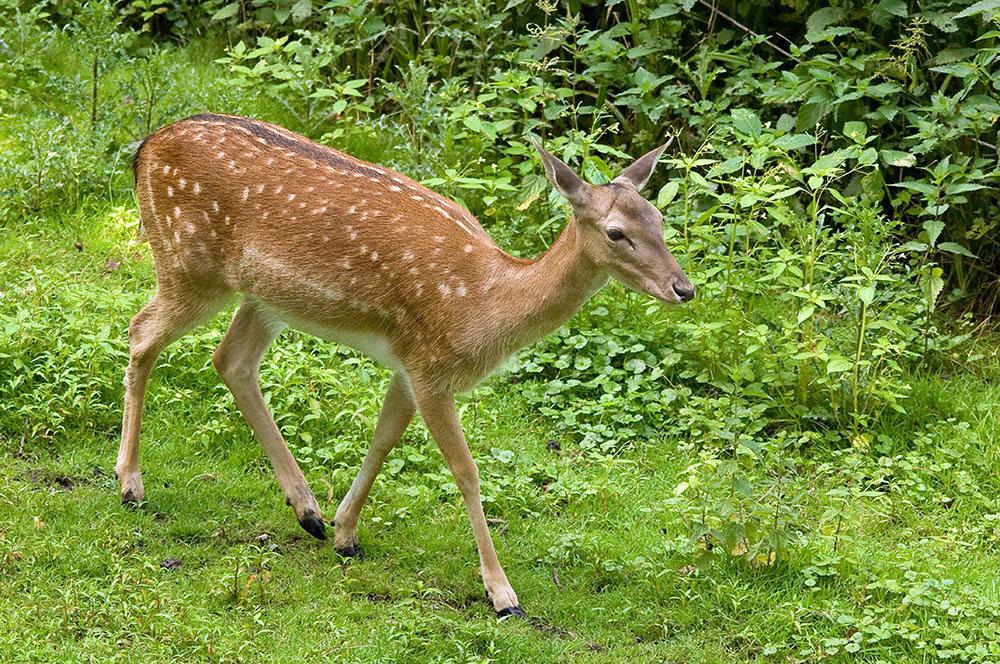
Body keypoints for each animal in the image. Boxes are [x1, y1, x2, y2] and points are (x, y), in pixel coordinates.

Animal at [117, 114, 692, 616]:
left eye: (661, 218)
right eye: (616, 232)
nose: (683, 288)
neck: (482, 306)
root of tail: (144, 149)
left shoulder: (407, 364)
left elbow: (384, 438)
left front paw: (346, 533)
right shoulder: (432, 367)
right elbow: (466, 470)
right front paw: (502, 594)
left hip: (264, 298)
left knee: (230, 361)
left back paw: (308, 511)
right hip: (187, 264)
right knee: (140, 334)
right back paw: (131, 486)